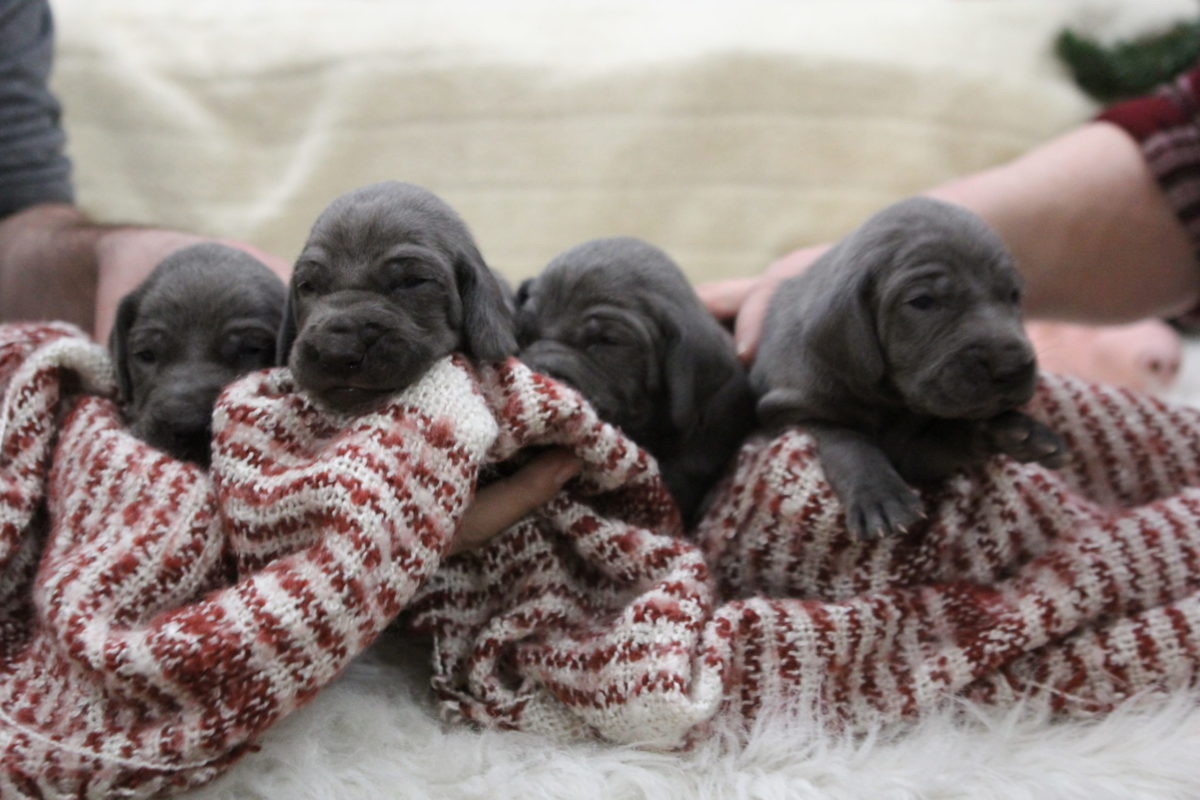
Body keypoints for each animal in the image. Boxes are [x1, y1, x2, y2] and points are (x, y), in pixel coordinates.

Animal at [750, 196, 1067, 539]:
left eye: (1013, 295)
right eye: (923, 301)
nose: (1012, 368)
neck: (890, 402)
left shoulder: (914, 453)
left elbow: (951, 437)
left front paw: (1017, 431)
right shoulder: (791, 411)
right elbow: (846, 440)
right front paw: (878, 493)